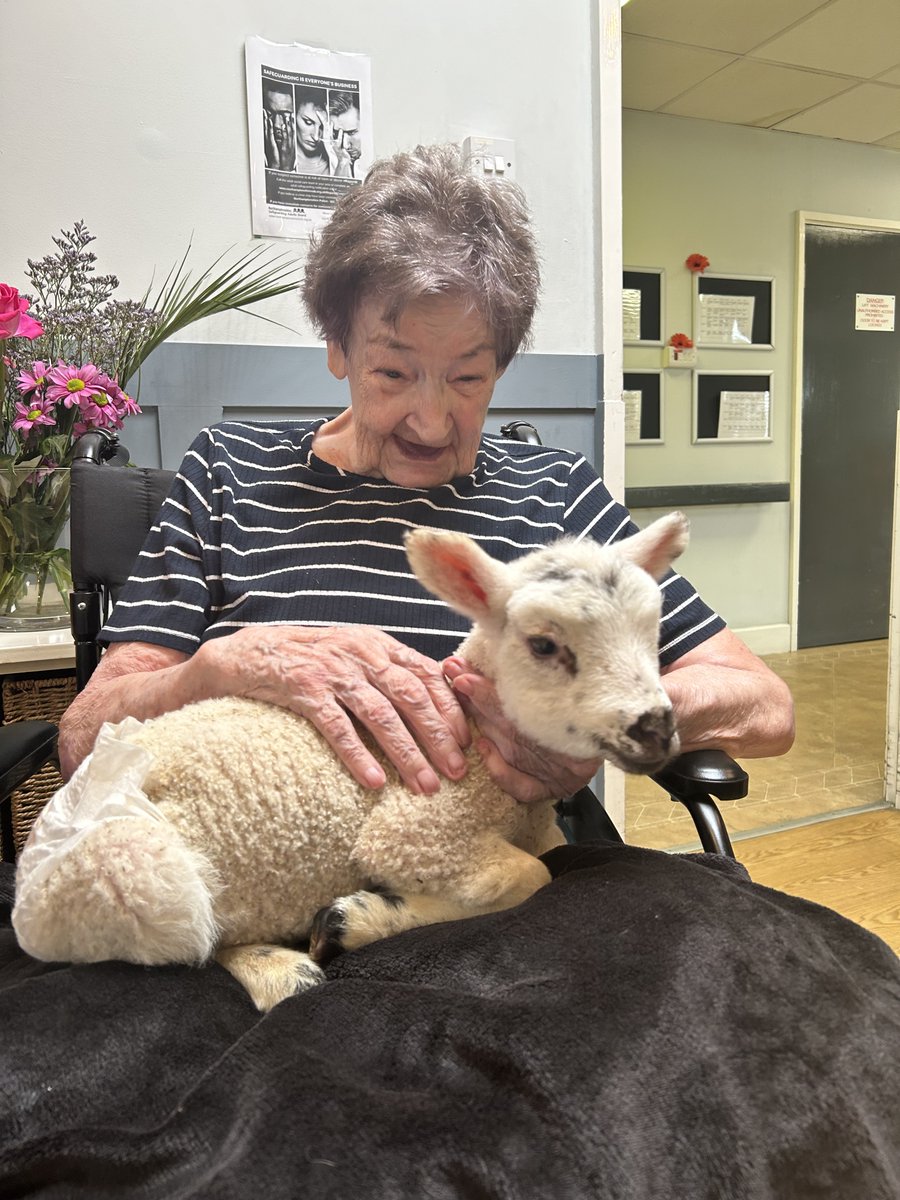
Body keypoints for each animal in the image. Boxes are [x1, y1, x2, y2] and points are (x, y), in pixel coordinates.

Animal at [12, 512, 689, 1012]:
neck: (478, 749)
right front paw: (359, 916)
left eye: (652, 632)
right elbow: (524, 877)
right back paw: (284, 969)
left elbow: (548, 854)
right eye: (545, 645)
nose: (656, 730)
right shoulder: (418, 833)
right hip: (134, 872)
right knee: (197, 941)